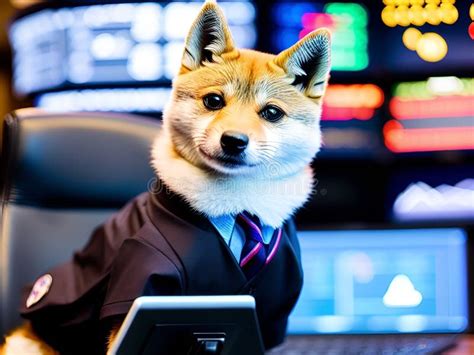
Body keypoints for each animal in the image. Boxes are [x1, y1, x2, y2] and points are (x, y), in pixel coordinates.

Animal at [1, 1, 332, 354]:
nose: (233, 140)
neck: (238, 206)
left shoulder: (268, 318)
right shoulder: (141, 290)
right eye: (214, 100)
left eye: (271, 113)